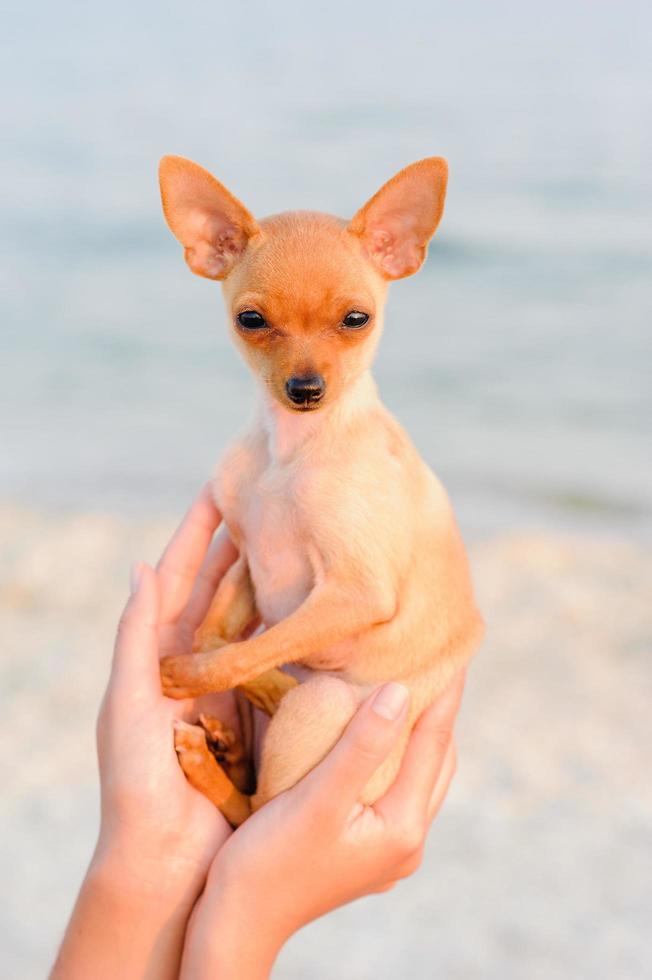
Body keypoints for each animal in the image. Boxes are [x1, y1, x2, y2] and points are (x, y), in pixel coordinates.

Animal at [158, 155, 484, 828]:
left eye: (357, 320)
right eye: (251, 321)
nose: (306, 389)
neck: (291, 451)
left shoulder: (356, 593)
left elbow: (240, 652)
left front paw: (202, 677)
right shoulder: (249, 557)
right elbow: (220, 638)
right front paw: (258, 684)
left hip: (328, 704)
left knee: (256, 807)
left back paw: (213, 761)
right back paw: (230, 747)